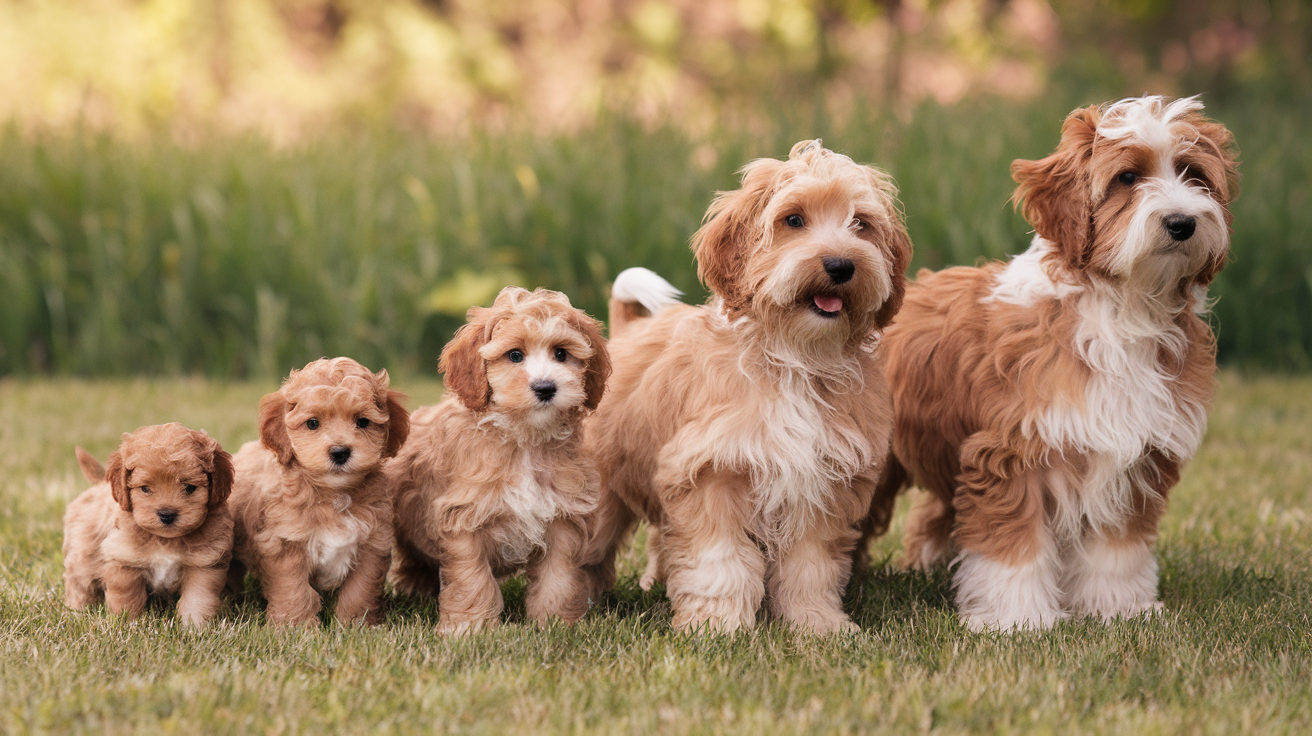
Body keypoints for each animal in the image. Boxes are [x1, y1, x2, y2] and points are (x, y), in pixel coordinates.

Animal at [63, 425, 236, 624]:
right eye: (145, 488)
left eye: (190, 487)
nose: (167, 515)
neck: (165, 540)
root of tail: (99, 484)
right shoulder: (124, 562)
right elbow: (127, 600)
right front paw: (128, 624)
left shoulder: (203, 565)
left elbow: (197, 600)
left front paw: (194, 627)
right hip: (83, 558)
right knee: (79, 584)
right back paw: (76, 611)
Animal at [228, 356, 406, 624]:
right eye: (313, 423)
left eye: (362, 422)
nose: (340, 452)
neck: (333, 495)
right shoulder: (285, 544)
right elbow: (294, 589)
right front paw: (296, 625)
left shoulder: (373, 544)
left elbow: (360, 589)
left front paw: (356, 624)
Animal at [388, 287, 608, 637]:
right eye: (515, 355)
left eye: (561, 354)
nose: (545, 387)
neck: (524, 438)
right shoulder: (464, 518)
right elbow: (472, 578)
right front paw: (469, 628)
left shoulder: (563, 518)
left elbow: (558, 578)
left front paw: (557, 623)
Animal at [871, 94, 1238, 629]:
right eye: (1127, 177)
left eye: (1194, 174)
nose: (1182, 222)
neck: (1123, 308)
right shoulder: (1011, 452)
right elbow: (1012, 547)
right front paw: (1017, 619)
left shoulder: (1136, 454)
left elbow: (1118, 548)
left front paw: (1118, 607)